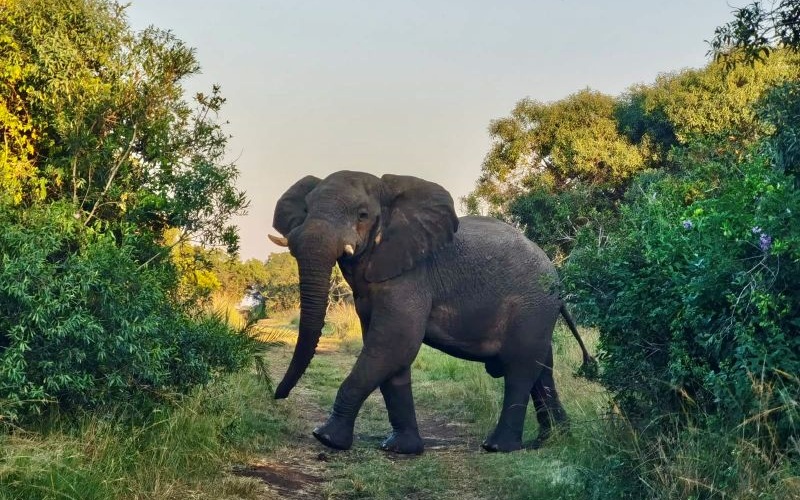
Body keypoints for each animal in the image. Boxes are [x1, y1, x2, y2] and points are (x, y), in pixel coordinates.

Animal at [268, 170, 595, 454]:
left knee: (520, 368)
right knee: (542, 370)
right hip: (538, 312)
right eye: (307, 209)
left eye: (362, 215)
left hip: (532, 306)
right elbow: (391, 357)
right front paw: (400, 449)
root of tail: (557, 279)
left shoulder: (411, 278)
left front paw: (325, 438)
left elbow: (394, 344)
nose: (277, 394)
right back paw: (552, 441)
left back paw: (498, 447)